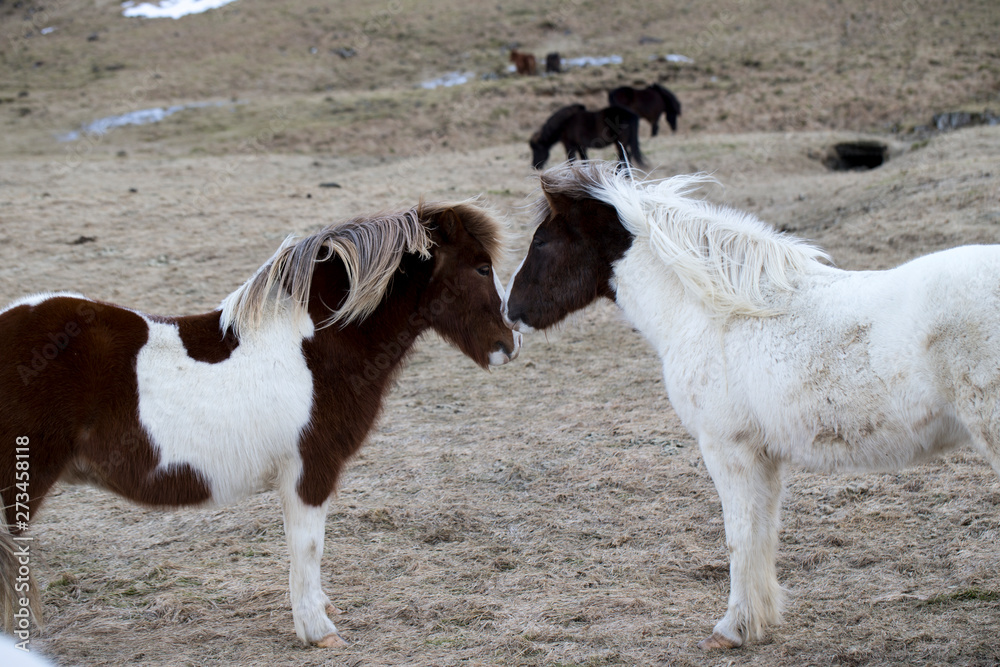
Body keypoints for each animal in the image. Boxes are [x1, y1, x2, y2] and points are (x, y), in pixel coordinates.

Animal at [3, 202, 524, 648]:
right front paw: (319, 631)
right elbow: (308, 548)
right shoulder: (309, 471)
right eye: (482, 268)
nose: (510, 342)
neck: (314, 346)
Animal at [508, 162, 1000, 652]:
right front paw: (760, 619)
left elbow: (740, 536)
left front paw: (732, 629)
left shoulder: (729, 449)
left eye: (542, 241)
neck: (719, 314)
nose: (511, 311)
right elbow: (763, 532)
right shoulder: (764, 457)